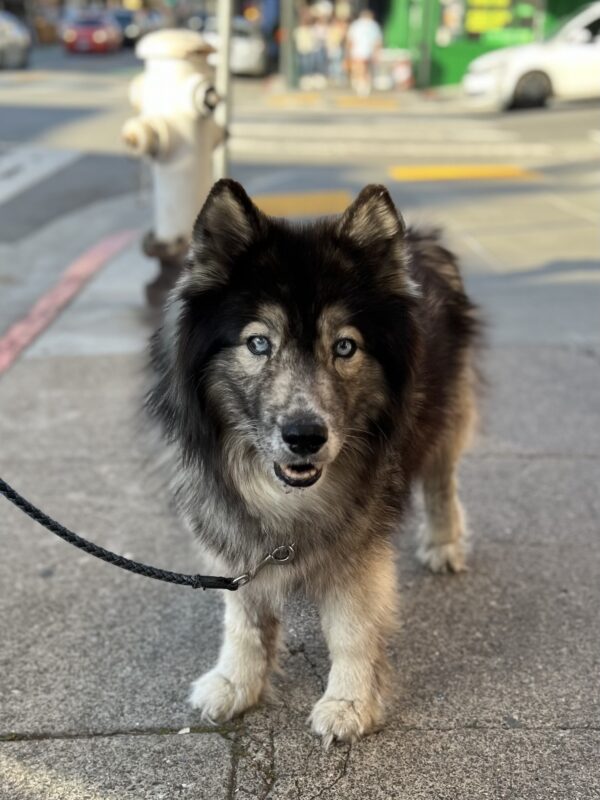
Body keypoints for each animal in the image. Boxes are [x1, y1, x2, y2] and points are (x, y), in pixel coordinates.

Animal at [148, 178, 480, 748]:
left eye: (344, 346)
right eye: (258, 342)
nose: (305, 437)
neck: (286, 496)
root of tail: (421, 237)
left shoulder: (358, 546)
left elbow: (351, 628)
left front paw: (348, 704)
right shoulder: (234, 534)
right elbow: (244, 617)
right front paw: (236, 683)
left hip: (447, 414)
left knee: (442, 480)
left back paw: (443, 544)